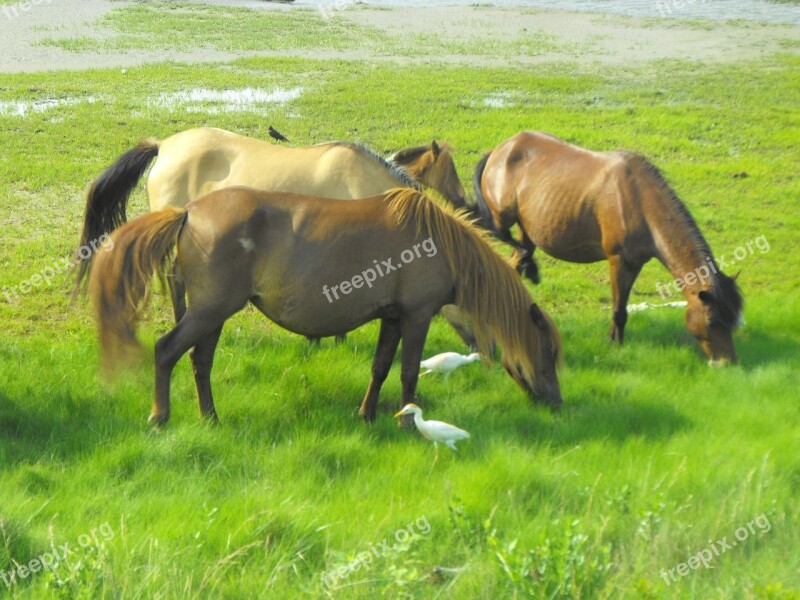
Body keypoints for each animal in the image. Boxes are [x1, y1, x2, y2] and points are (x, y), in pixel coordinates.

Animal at [89, 188, 564, 426]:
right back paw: (160, 417)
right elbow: (408, 372)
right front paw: (408, 423)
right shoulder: (416, 317)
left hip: (212, 316)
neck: (438, 244)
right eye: (547, 353)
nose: (557, 404)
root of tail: (188, 211)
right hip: (209, 312)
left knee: (200, 362)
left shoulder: (393, 318)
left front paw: (367, 415)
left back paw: (211, 419)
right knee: (167, 351)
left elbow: (381, 367)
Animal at [476, 132, 744, 366]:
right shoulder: (618, 261)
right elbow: (618, 309)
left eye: (734, 321)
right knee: (506, 243)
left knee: (515, 262)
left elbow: (622, 307)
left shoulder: (635, 263)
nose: (726, 363)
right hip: (505, 218)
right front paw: (614, 343)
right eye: (712, 322)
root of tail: (499, 151)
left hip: (527, 228)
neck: (640, 202)